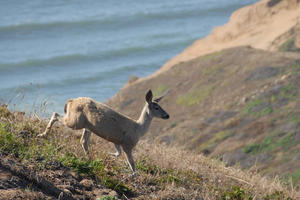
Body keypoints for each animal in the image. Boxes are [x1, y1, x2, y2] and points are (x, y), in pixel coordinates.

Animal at [38, 90, 169, 174]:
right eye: (156, 107)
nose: (167, 115)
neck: (138, 128)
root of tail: (71, 101)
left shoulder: (116, 140)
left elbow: (118, 153)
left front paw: (108, 155)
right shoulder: (127, 144)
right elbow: (132, 163)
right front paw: (134, 175)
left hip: (87, 126)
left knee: (83, 141)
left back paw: (89, 158)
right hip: (75, 121)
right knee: (56, 114)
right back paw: (42, 134)